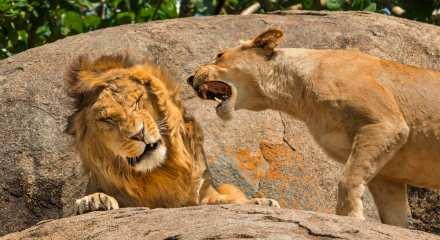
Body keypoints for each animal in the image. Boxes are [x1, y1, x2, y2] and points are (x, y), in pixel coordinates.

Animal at [65, 54, 278, 214]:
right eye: (107, 120)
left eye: (137, 101)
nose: (139, 134)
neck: (159, 171)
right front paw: (94, 201)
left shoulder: (203, 193)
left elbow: (224, 200)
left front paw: (260, 202)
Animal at [187, 29, 440, 226]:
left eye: (219, 55)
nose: (189, 78)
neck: (297, 93)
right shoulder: (387, 173)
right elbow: (393, 215)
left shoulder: (386, 124)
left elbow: (347, 179)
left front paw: (350, 218)